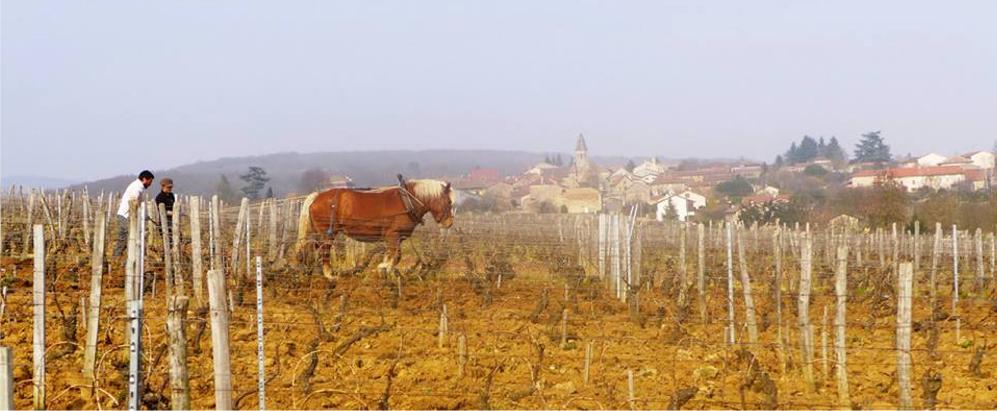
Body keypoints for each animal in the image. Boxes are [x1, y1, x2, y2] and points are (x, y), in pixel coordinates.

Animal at [292, 177, 456, 280]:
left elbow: (392, 255)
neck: (408, 201)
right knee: (323, 251)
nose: (449, 223)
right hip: (327, 234)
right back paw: (329, 275)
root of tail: (316, 196)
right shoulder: (393, 235)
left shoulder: (395, 238)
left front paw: (385, 271)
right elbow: (396, 256)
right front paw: (383, 267)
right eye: (449, 201)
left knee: (311, 248)